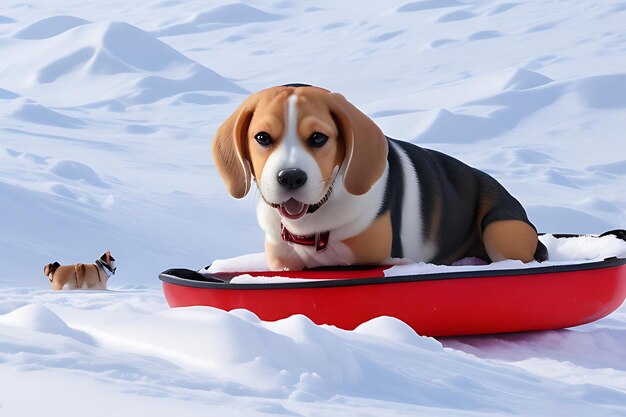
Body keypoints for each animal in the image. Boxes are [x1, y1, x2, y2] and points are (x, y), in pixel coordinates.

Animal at [212, 84, 544, 270]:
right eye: (262, 137)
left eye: (318, 138)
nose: (291, 177)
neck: (314, 223)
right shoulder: (284, 264)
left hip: (502, 230)